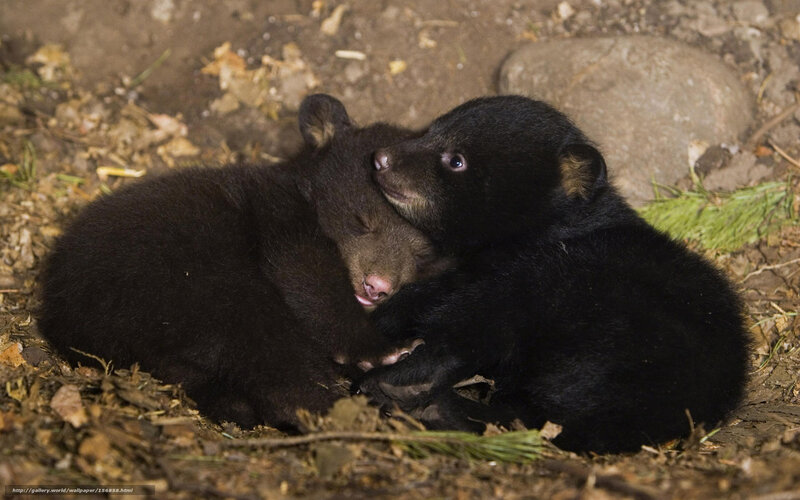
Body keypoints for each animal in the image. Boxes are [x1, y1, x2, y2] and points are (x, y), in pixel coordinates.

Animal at [38, 94, 442, 431]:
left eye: (422, 253)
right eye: (361, 221)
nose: (377, 287)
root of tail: (59, 314)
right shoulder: (278, 216)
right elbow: (308, 276)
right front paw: (381, 350)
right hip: (179, 283)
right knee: (262, 340)